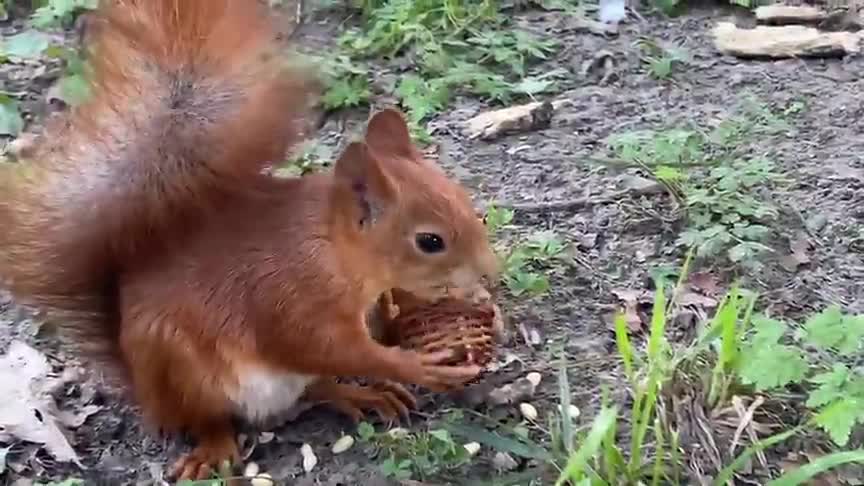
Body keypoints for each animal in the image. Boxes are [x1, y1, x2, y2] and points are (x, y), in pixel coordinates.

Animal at [0, 0, 500, 482]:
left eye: (463, 198)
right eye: (430, 241)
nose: (490, 271)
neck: (334, 250)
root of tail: (145, 391)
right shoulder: (291, 298)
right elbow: (330, 348)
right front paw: (418, 365)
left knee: (318, 386)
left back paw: (359, 395)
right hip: (183, 372)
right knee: (208, 418)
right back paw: (215, 446)